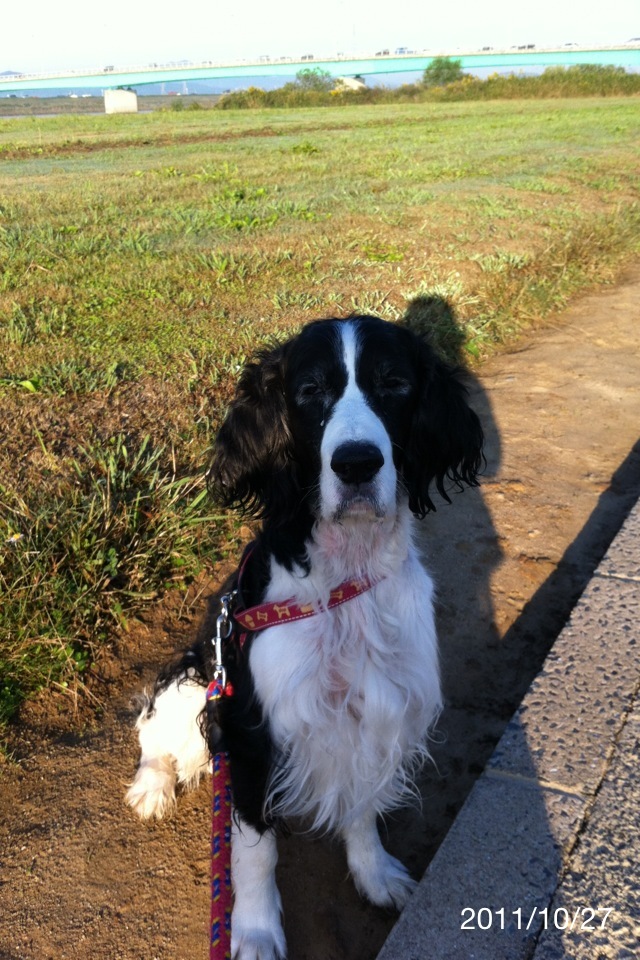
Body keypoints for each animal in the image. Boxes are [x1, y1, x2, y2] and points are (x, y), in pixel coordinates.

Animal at [126, 314, 483, 960]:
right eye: (310, 390)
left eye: (394, 382)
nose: (357, 464)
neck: (342, 580)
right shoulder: (251, 729)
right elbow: (254, 850)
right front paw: (254, 932)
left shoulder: (378, 710)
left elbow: (363, 806)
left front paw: (375, 874)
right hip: (195, 679)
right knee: (153, 732)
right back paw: (152, 787)